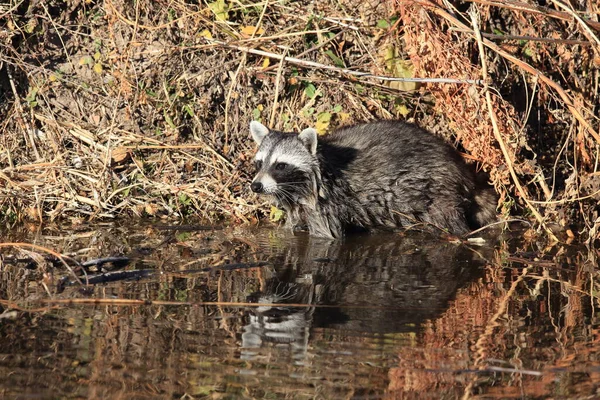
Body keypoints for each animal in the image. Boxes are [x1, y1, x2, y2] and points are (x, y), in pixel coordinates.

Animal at [248, 119, 496, 238]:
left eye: (280, 165)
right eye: (259, 163)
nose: (256, 186)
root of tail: (459, 166)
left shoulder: (325, 202)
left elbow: (325, 236)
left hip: (436, 191)